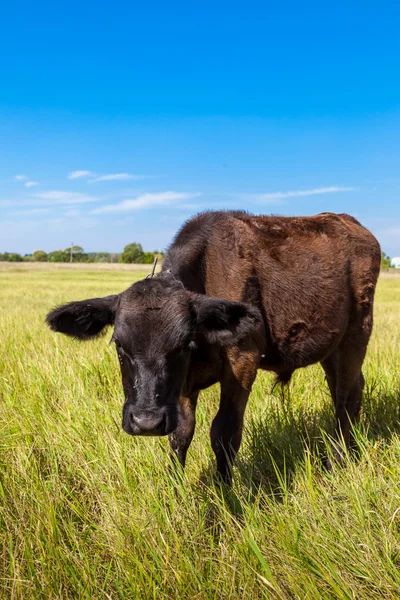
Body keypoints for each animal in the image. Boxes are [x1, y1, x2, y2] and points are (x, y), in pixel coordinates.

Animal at [45, 211, 380, 482]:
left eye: (183, 344)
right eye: (119, 346)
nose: (147, 422)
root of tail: (351, 223)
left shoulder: (242, 362)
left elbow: (224, 432)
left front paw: (224, 494)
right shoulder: (180, 386)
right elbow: (181, 434)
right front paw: (175, 489)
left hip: (357, 332)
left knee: (346, 396)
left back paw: (339, 459)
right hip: (331, 347)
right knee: (345, 389)